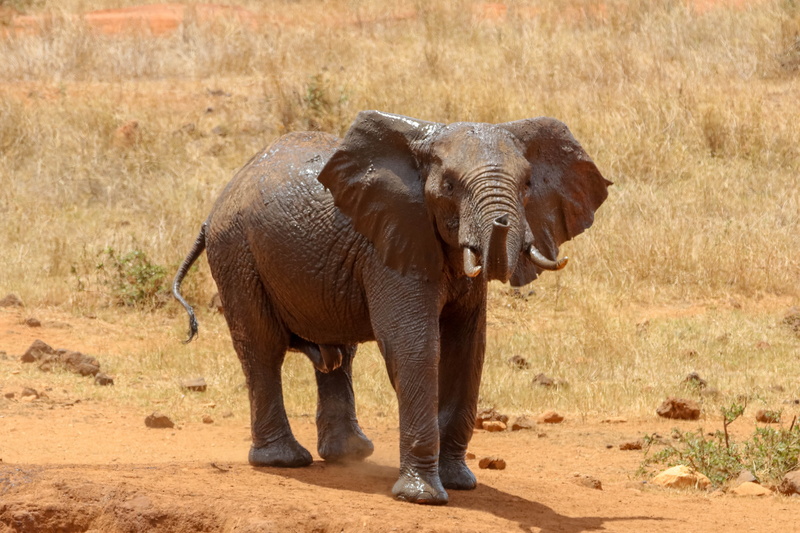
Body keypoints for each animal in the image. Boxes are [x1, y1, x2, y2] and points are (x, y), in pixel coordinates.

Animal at [172, 110, 610, 505]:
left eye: (527, 183)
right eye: (449, 185)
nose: (503, 223)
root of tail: (219, 201)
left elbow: (467, 351)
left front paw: (460, 483)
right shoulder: (392, 243)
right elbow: (414, 346)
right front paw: (422, 497)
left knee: (337, 355)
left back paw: (350, 455)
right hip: (236, 250)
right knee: (262, 348)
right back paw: (284, 461)